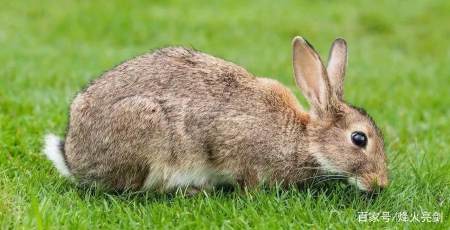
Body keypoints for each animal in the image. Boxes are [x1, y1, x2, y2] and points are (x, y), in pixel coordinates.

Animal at [45, 36, 388, 193]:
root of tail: (73, 157)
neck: (304, 139)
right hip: (146, 131)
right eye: (359, 139)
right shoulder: (236, 144)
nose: (381, 184)